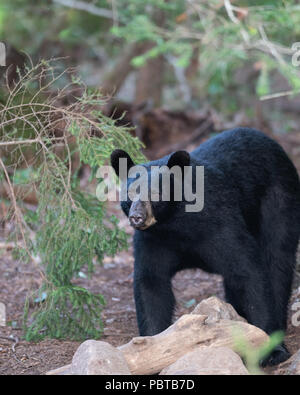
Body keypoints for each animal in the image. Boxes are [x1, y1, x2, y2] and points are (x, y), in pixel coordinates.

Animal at [110, 128, 300, 366]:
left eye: (157, 194)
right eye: (130, 194)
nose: (137, 216)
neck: (175, 225)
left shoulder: (221, 224)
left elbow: (249, 272)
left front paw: (271, 350)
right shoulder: (153, 240)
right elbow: (151, 283)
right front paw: (151, 347)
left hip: (279, 201)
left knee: (277, 260)